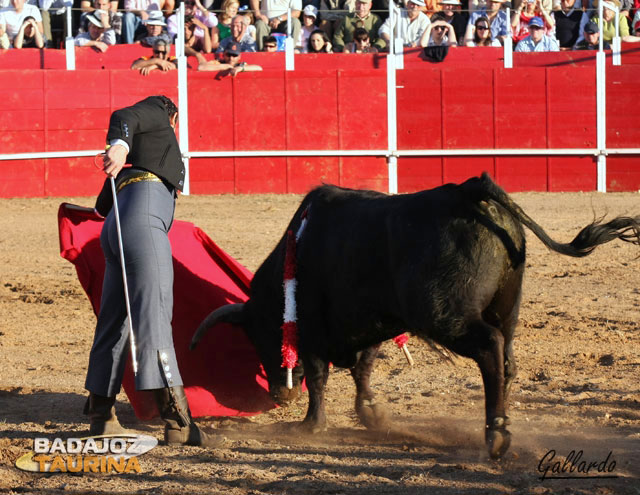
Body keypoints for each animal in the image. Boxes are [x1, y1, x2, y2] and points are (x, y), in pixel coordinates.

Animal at [191, 174, 640, 462]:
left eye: (263, 335)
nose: (279, 396)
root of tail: (470, 191)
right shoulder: (372, 320)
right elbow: (364, 369)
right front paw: (371, 415)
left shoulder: (316, 331)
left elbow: (320, 378)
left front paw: (310, 425)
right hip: (507, 309)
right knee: (507, 360)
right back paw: (500, 425)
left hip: (448, 316)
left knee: (490, 348)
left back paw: (495, 435)